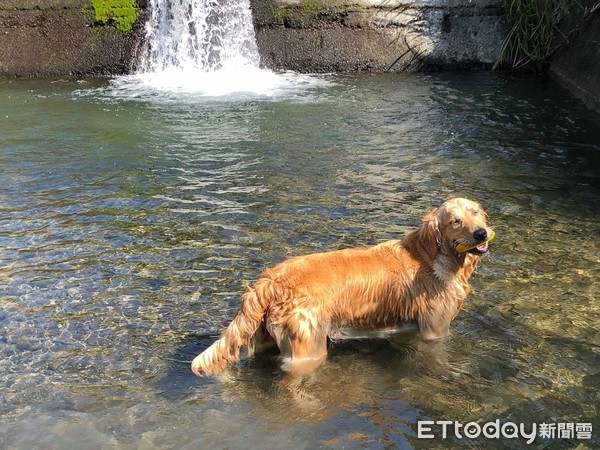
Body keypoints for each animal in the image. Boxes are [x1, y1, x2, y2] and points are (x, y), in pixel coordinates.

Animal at [191, 199, 492, 378]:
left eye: (476, 213)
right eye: (454, 220)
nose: (481, 233)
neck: (431, 258)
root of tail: (271, 281)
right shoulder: (434, 331)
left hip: (264, 336)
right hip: (308, 348)